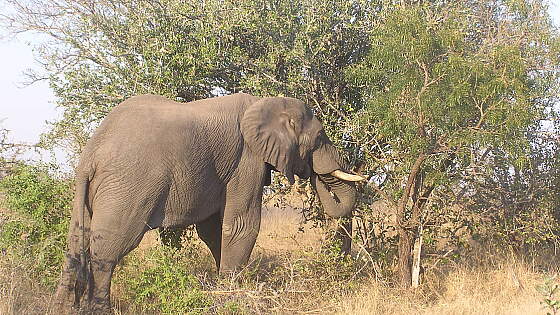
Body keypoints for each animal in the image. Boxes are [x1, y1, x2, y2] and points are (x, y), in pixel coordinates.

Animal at [54, 92, 366, 314]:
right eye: (319, 138)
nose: (315, 173)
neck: (265, 103)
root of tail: (91, 155)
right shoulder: (246, 160)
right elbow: (242, 225)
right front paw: (232, 296)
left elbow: (213, 230)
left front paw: (223, 287)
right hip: (128, 186)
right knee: (108, 250)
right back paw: (98, 310)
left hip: (93, 193)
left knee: (75, 244)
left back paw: (63, 308)